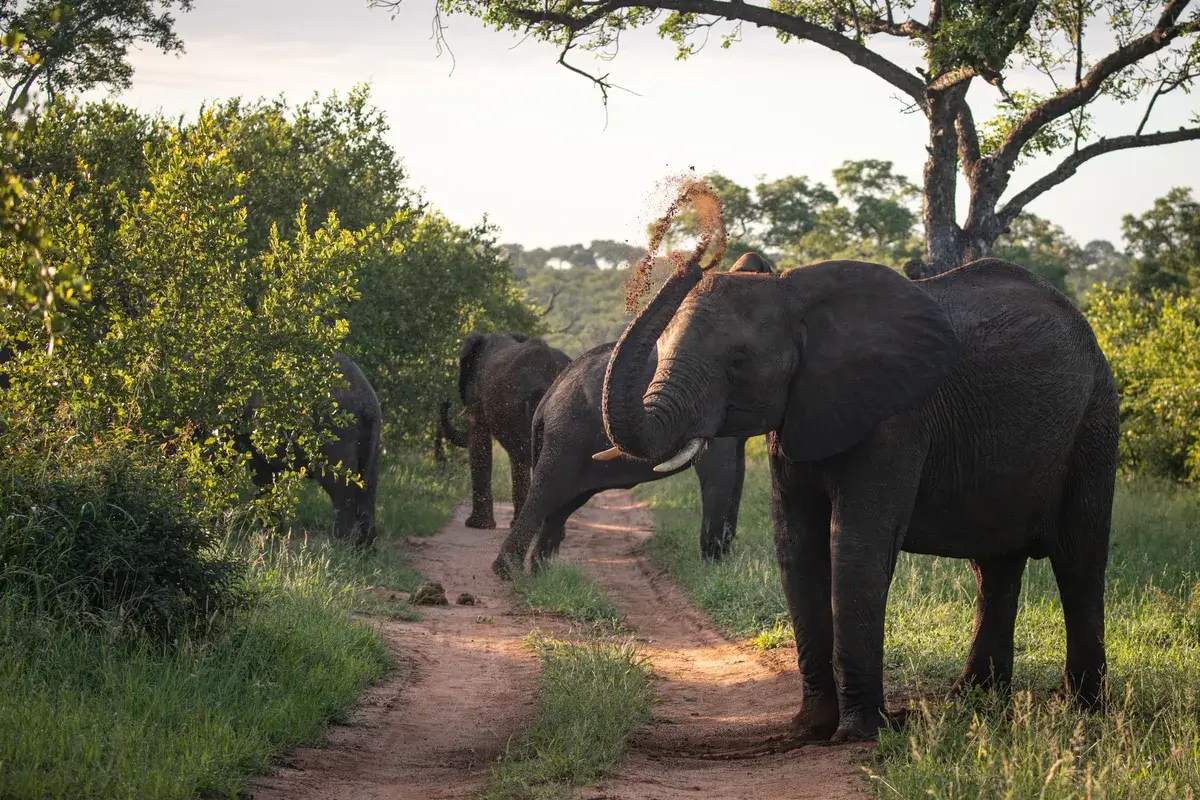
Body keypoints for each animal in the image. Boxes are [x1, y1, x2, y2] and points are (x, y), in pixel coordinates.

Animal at [238, 352, 382, 548]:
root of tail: (367, 405)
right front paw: (272, 537)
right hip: (370, 437)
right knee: (368, 488)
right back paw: (365, 548)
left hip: (335, 430)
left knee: (342, 489)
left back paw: (342, 547)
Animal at [489, 251, 776, 578]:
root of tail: (548, 399)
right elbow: (720, 467)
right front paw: (716, 569)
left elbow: (735, 470)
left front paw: (723, 565)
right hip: (566, 436)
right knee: (547, 492)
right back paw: (508, 573)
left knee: (562, 506)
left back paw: (542, 574)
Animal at [597, 254, 1120, 743]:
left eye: (739, 361)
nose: (699, 250)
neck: (795, 296)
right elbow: (797, 547)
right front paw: (809, 729)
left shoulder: (897, 418)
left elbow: (856, 547)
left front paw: (857, 734)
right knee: (995, 568)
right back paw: (973, 700)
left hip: (1094, 422)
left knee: (1079, 561)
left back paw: (1082, 710)